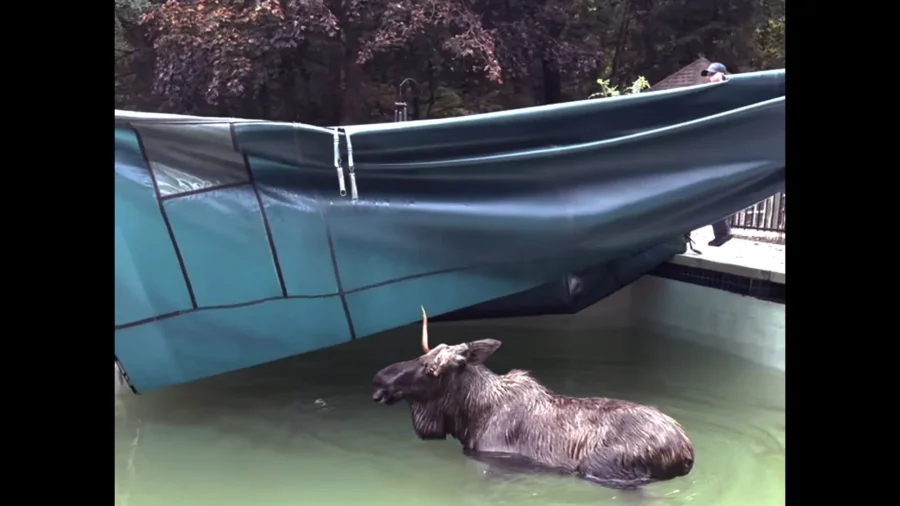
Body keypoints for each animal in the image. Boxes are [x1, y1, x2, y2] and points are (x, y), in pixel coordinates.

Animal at [372, 306, 696, 488]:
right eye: (422, 356)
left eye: (431, 369)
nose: (379, 379)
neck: (468, 416)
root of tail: (687, 452)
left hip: (603, 469)